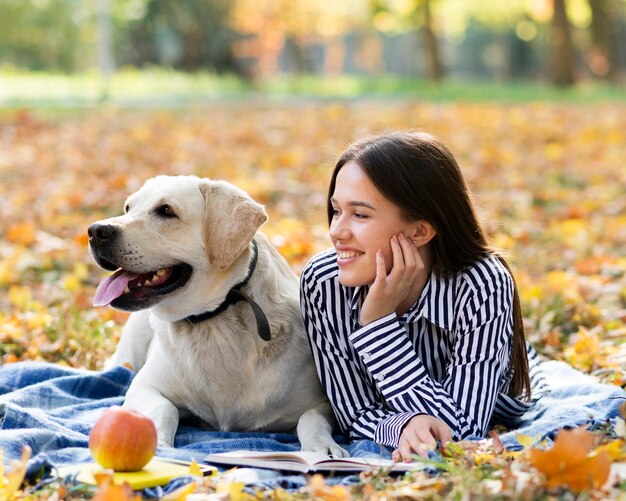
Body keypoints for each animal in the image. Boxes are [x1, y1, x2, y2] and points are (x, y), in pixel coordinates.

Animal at [89, 174, 346, 456]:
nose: (95, 231)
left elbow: (310, 418)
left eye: (166, 211)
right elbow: (165, 408)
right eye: (128, 208)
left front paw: (323, 448)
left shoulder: (324, 403)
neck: (212, 320)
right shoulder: (145, 385)